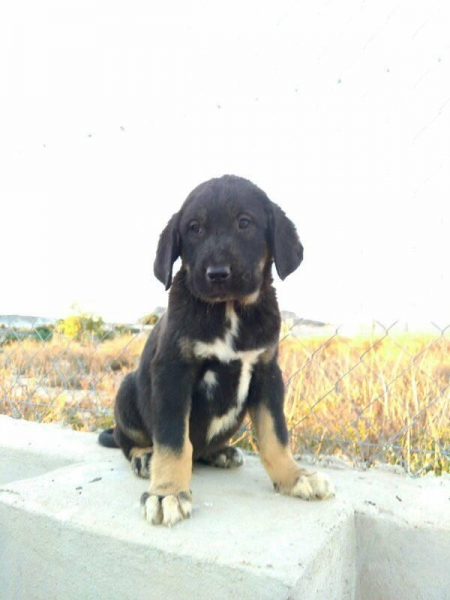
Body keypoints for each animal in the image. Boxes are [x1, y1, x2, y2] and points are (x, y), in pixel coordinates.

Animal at [100, 173, 336, 524]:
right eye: (194, 228)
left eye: (244, 223)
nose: (217, 274)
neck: (229, 310)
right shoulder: (173, 372)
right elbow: (173, 439)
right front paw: (167, 492)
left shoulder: (267, 372)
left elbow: (275, 434)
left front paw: (294, 477)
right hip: (128, 387)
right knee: (126, 438)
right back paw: (144, 457)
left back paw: (220, 452)